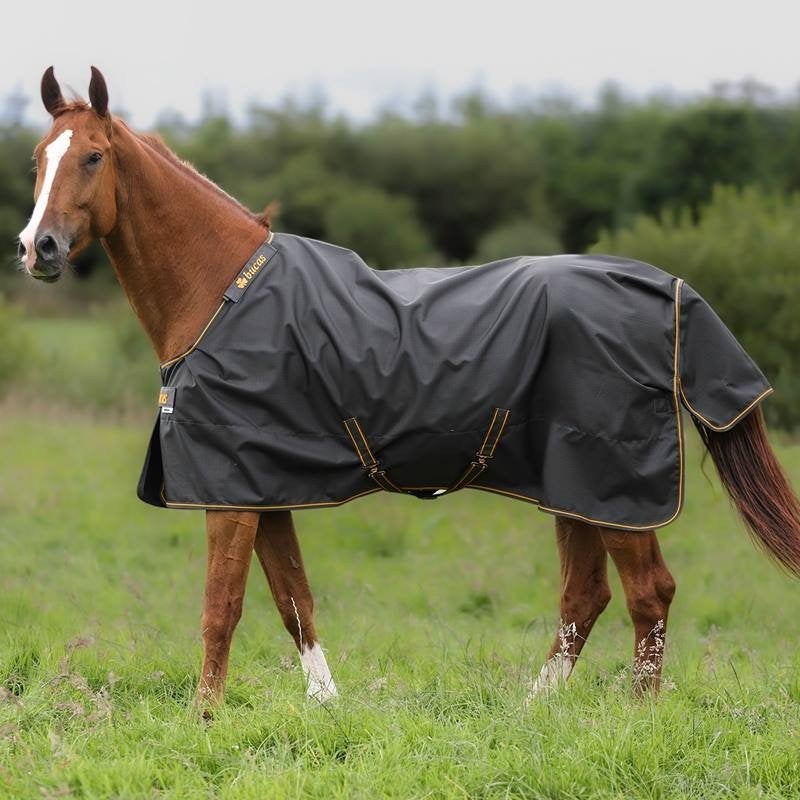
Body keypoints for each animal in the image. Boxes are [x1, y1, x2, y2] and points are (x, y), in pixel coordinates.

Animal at [17, 66, 800, 713]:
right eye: (37, 159)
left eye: (93, 156)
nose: (36, 249)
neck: (220, 293)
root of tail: (668, 289)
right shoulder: (264, 487)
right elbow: (293, 599)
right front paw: (325, 705)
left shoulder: (229, 491)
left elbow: (222, 606)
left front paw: (204, 720)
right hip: (574, 488)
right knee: (587, 594)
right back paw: (534, 711)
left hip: (616, 488)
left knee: (647, 593)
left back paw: (637, 717)